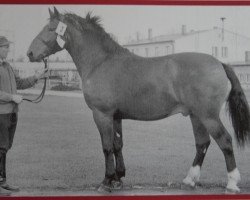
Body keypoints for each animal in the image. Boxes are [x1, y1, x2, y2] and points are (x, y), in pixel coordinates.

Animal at [26, 7, 250, 193]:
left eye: (50, 28)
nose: (30, 53)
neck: (101, 61)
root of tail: (220, 63)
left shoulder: (102, 115)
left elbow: (106, 146)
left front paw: (106, 181)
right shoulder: (116, 116)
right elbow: (117, 145)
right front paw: (118, 179)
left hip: (208, 116)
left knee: (225, 141)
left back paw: (232, 183)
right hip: (196, 116)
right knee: (202, 143)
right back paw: (189, 180)